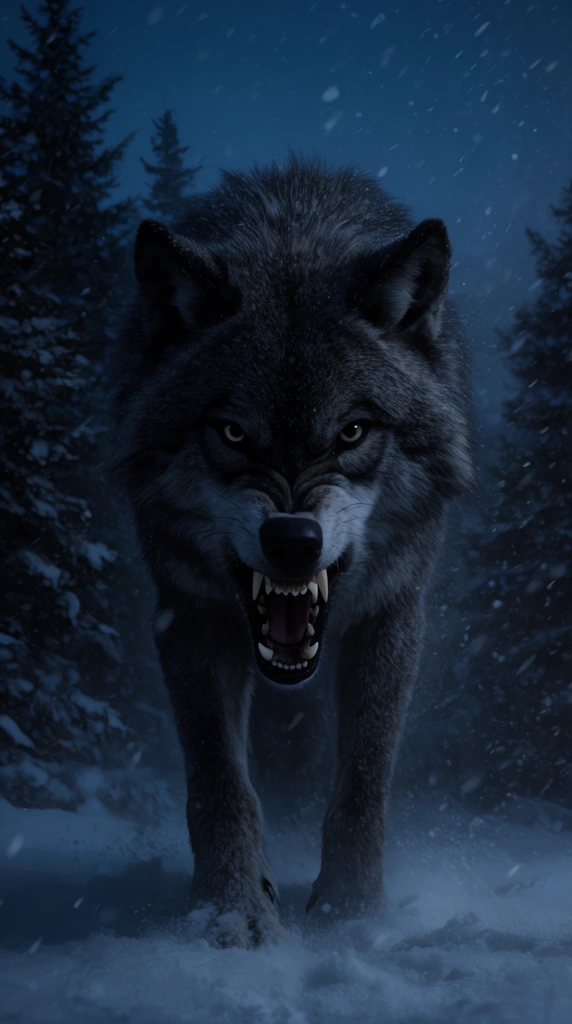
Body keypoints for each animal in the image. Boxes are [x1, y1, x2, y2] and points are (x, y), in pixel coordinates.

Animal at [112, 155, 473, 948]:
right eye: (233, 433)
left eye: (352, 432)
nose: (291, 540)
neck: (292, 239)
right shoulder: (187, 611)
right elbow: (219, 781)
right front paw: (232, 910)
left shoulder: (392, 614)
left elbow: (364, 780)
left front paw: (349, 916)